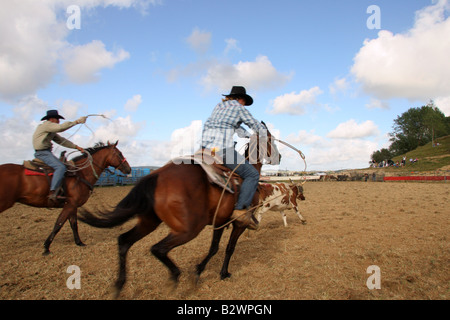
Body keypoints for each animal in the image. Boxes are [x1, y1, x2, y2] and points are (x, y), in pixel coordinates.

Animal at [0, 141, 130, 255]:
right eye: (119, 153)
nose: (128, 169)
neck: (81, 173)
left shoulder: (73, 205)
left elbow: (73, 224)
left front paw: (79, 242)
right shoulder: (70, 204)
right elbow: (59, 224)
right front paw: (46, 247)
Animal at [78, 122, 282, 298]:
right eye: (271, 139)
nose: (279, 157)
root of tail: (156, 176)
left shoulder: (220, 221)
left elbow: (215, 248)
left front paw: (207, 271)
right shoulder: (238, 223)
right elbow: (228, 248)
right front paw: (213, 272)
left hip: (149, 222)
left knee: (124, 241)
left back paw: (119, 285)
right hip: (189, 229)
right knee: (157, 249)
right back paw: (174, 278)